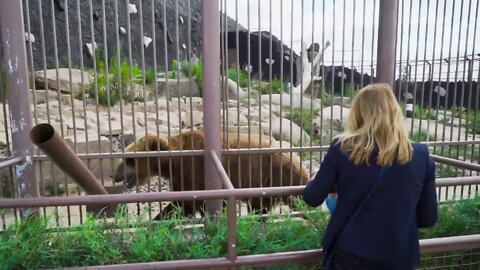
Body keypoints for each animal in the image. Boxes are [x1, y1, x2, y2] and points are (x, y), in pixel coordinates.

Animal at [115, 130, 312, 218]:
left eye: (129, 160)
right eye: (124, 157)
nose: (115, 175)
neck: (172, 163)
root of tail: (297, 158)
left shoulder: (194, 171)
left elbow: (188, 203)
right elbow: (184, 203)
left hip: (274, 176)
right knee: (259, 208)